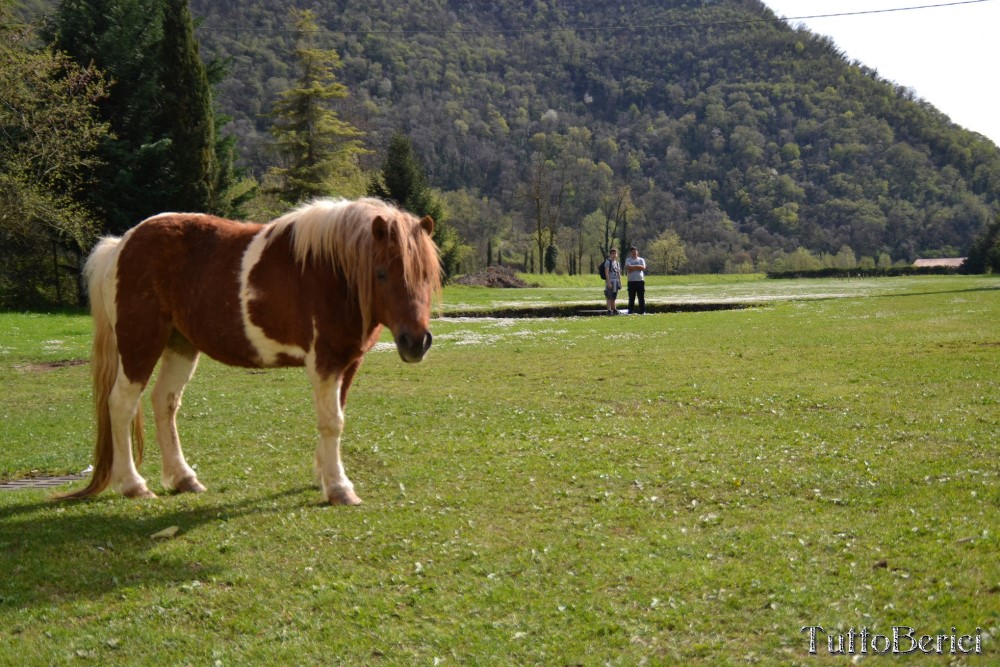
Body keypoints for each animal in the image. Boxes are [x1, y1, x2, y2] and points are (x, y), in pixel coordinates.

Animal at [58, 198, 440, 506]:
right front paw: (339, 488)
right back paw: (133, 485)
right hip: (141, 344)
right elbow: (332, 422)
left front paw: (324, 475)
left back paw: (184, 478)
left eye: (426, 274)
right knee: (121, 405)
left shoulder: (348, 362)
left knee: (164, 402)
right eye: (381, 274)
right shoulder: (325, 362)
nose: (416, 342)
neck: (332, 271)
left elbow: (335, 416)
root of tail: (121, 243)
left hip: (181, 346)